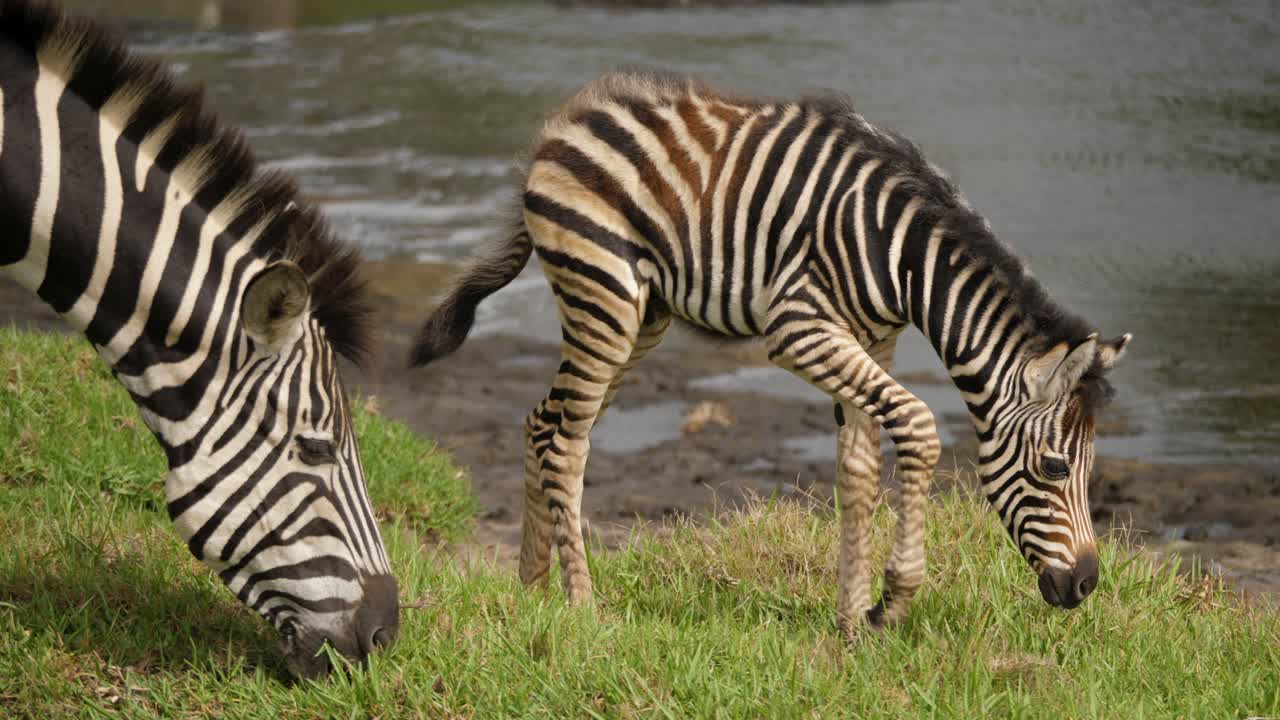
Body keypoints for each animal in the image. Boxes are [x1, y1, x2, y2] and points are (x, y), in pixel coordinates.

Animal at [412, 71, 1131, 633]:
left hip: (639, 317)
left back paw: (533, 589)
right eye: (1055, 468)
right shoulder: (798, 329)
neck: (903, 258)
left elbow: (857, 474)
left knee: (545, 423)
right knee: (567, 442)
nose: (1087, 585)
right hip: (605, 298)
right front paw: (895, 598)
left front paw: (852, 620)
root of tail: (563, 124)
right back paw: (585, 609)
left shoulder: (874, 341)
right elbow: (919, 426)